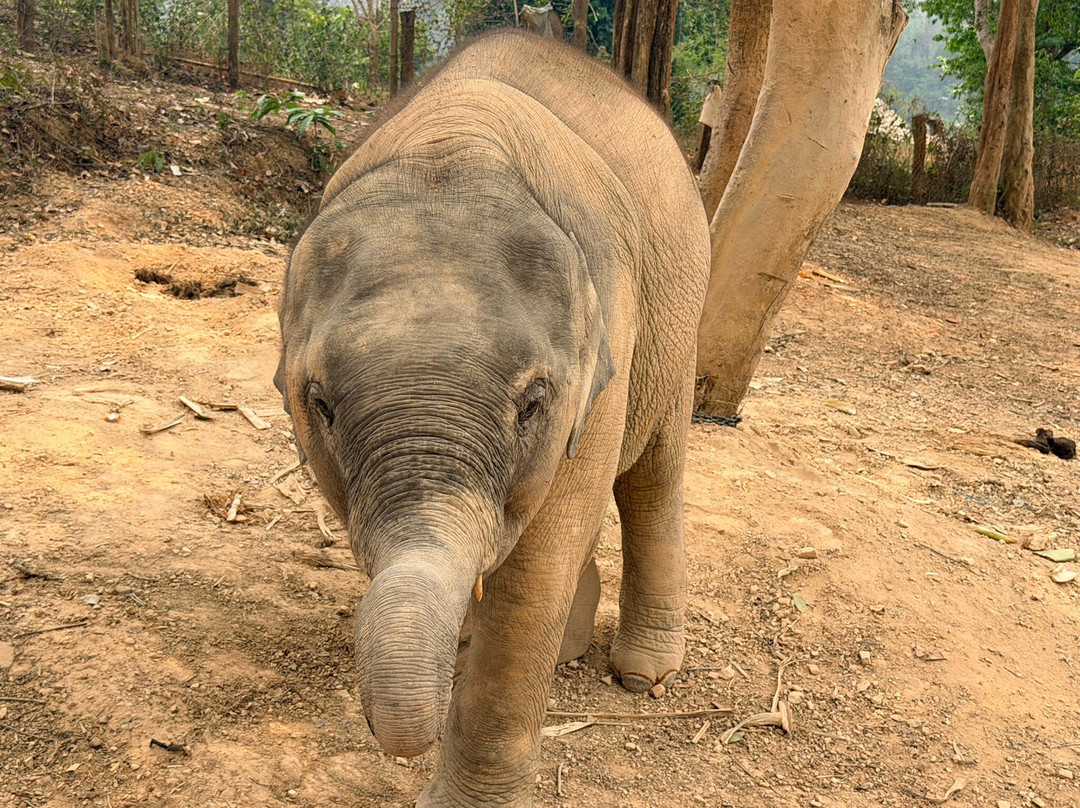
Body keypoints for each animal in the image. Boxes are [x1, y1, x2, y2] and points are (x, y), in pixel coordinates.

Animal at [275, 30, 710, 807]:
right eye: (318, 403)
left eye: (533, 403)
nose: (387, 726)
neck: (458, 145)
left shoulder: (611, 342)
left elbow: (536, 571)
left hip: (676, 326)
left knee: (651, 479)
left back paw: (641, 674)